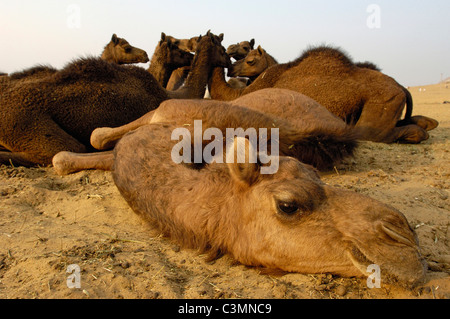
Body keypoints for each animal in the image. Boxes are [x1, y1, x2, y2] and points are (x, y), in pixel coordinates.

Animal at [209, 45, 438, 145]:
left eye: (250, 60)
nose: (231, 67)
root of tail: (401, 87)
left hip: (383, 101)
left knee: (372, 133)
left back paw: (418, 133)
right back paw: (428, 123)